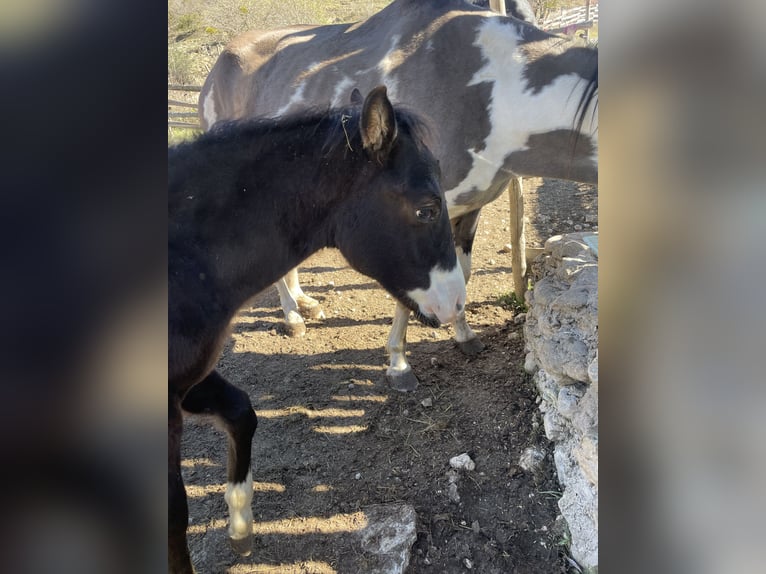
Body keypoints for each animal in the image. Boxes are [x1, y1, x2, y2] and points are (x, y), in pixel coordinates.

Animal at [169, 86, 466, 573]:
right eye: (427, 208)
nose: (457, 302)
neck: (185, 260)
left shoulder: (188, 382)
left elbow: (242, 411)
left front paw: (241, 528)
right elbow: (174, 511)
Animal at [198, 0, 598, 391]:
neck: (491, 94)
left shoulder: (469, 209)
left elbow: (462, 272)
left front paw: (464, 334)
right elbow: (410, 294)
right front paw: (399, 364)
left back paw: (304, 302)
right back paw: (294, 317)